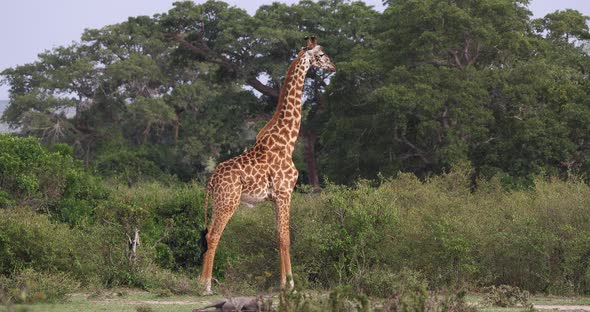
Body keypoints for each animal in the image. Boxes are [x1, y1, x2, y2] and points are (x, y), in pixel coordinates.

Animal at [200, 36, 336, 292]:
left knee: (208, 234)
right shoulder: (285, 193)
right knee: (214, 236)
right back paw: (205, 286)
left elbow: (277, 237)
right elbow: (286, 238)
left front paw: (282, 283)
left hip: (218, 201)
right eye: (321, 54)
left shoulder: (274, 198)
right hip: (229, 201)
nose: (333, 67)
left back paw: (201, 282)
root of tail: (211, 180)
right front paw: (290, 284)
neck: (287, 141)